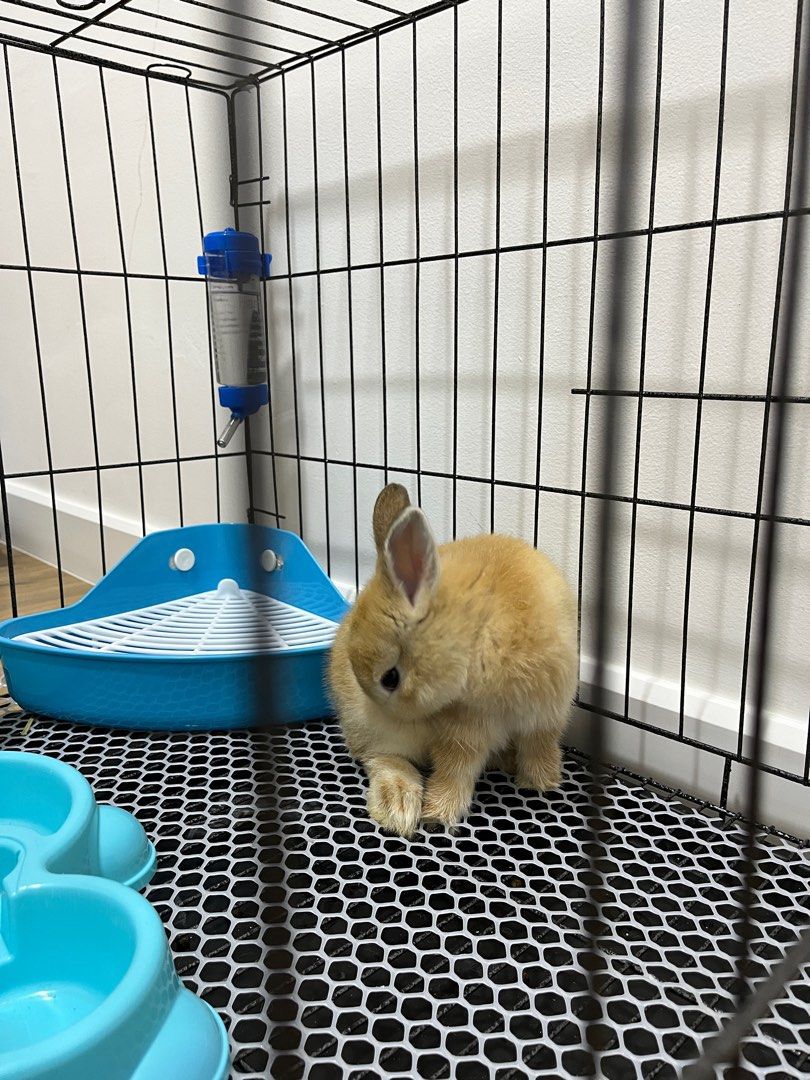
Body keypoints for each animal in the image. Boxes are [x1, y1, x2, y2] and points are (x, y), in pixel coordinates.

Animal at [328, 483, 579, 837]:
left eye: (390, 678)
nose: (388, 716)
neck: (475, 630)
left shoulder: (546, 715)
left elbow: (540, 748)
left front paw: (541, 784)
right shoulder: (465, 727)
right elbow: (455, 770)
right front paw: (436, 815)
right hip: (372, 735)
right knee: (381, 758)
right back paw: (398, 806)